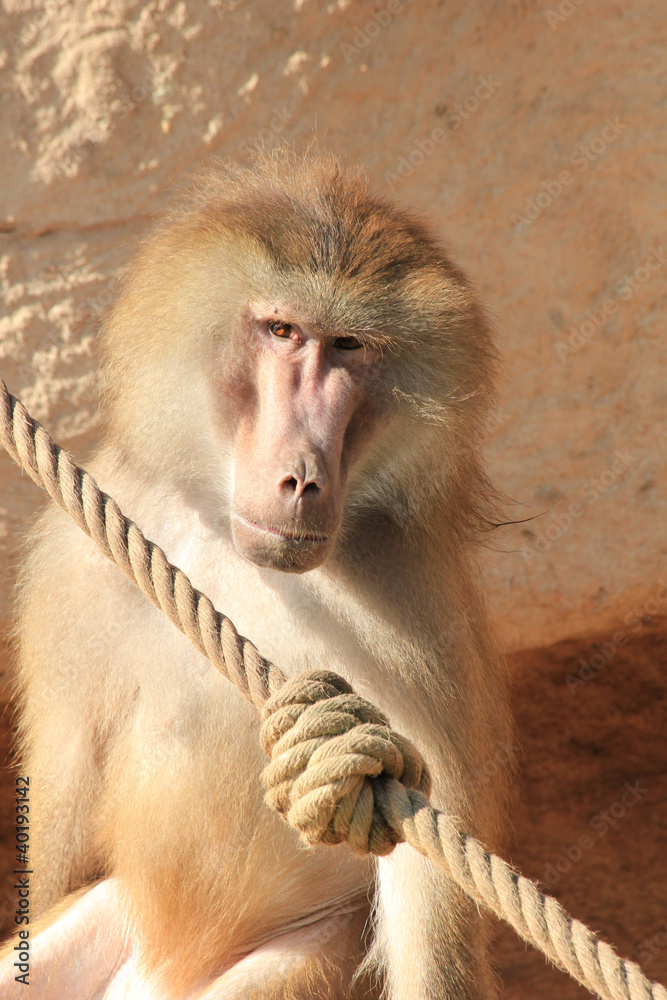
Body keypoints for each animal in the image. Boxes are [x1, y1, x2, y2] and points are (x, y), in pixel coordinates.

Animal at [0, 149, 512, 999]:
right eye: (281, 332)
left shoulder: (417, 610)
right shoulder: (77, 568)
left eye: (347, 347)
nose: (301, 480)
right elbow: (62, 826)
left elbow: (430, 901)